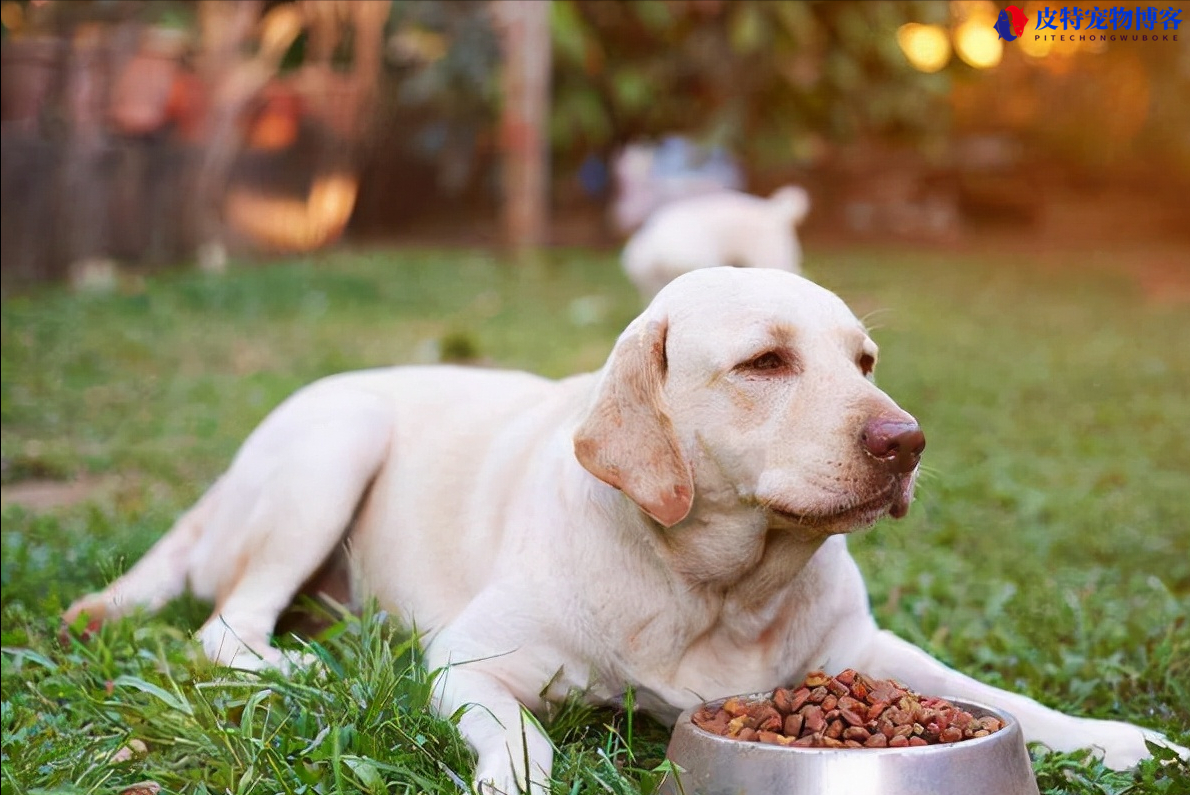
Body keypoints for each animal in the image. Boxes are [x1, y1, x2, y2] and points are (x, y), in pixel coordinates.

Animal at [67, 268, 1180, 795]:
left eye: (863, 361)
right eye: (766, 362)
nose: (906, 441)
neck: (719, 590)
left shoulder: (865, 653)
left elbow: (1002, 698)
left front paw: (1120, 739)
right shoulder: (466, 661)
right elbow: (519, 733)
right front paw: (513, 774)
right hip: (338, 440)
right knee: (223, 632)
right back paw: (308, 660)